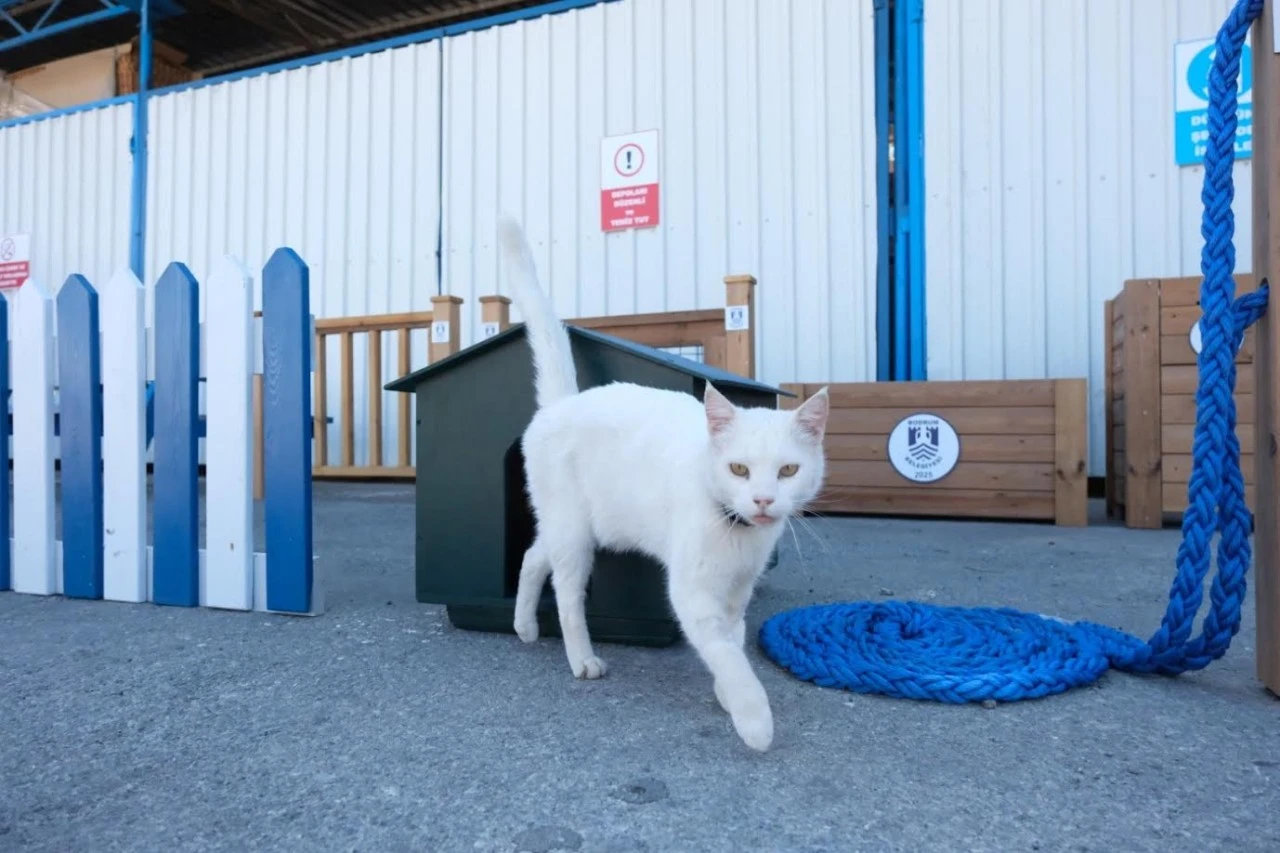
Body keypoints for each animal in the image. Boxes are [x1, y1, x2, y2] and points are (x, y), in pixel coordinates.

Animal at [497, 215, 830, 752]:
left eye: (787, 471)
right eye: (739, 469)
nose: (762, 500)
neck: (736, 534)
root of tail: (561, 405)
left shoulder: (738, 591)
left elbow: (734, 640)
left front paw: (727, 696)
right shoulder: (692, 592)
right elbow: (727, 653)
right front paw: (753, 717)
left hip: (573, 526)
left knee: (532, 556)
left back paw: (524, 625)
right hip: (573, 534)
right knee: (566, 594)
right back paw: (581, 659)